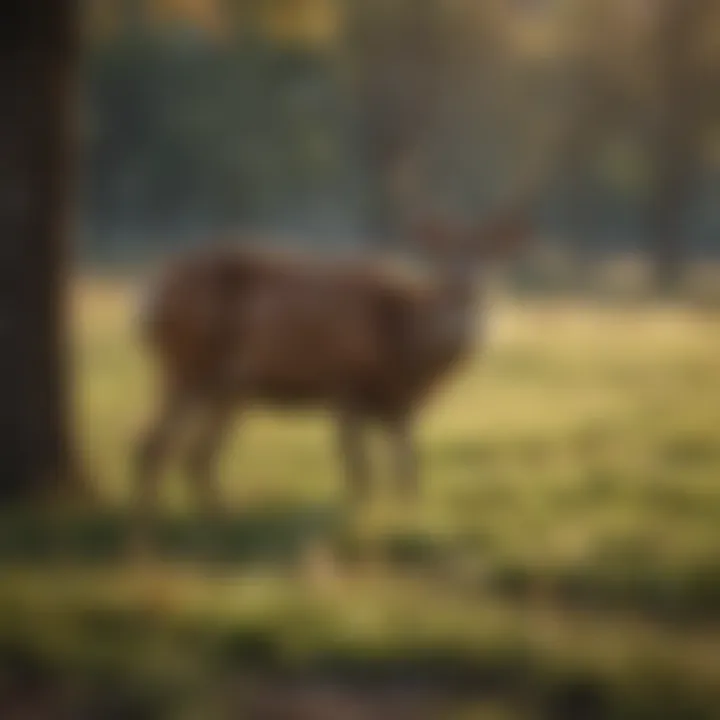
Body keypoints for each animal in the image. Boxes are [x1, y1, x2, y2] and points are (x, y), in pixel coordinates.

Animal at [135, 211, 524, 520]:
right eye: (443, 277)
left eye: (492, 283)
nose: (464, 332)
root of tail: (152, 294)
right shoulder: (345, 383)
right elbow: (362, 474)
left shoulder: (397, 407)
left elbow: (408, 474)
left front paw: (409, 514)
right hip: (186, 366)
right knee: (155, 447)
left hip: (226, 388)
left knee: (192, 456)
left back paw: (214, 515)